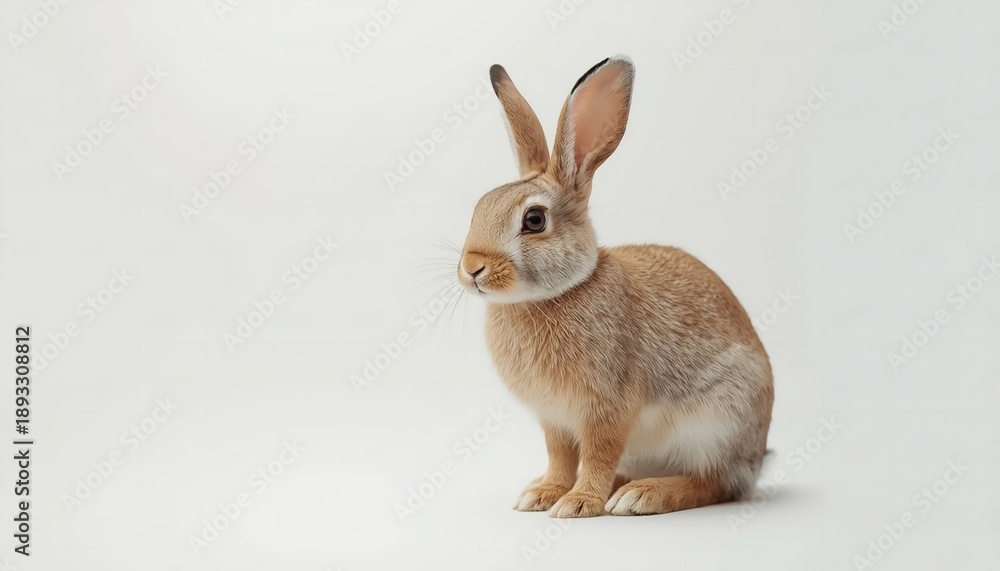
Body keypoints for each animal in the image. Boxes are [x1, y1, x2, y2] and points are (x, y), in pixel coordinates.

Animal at [456, 56, 773, 517]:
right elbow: (559, 456)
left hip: (718, 424)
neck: (555, 295)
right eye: (479, 208)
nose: (471, 268)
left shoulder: (608, 408)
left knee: (715, 484)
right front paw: (543, 494)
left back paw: (640, 496)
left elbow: (598, 455)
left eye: (534, 220)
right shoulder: (555, 420)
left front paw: (578, 503)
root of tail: (757, 456)